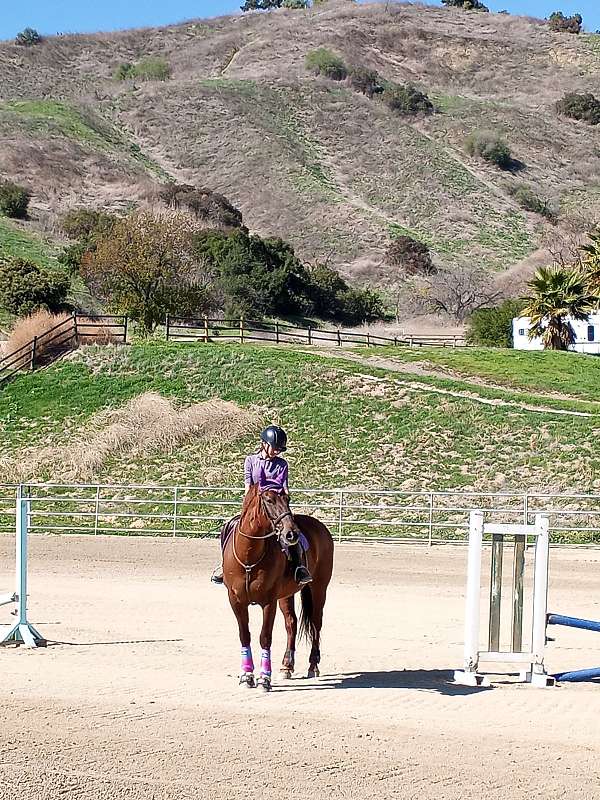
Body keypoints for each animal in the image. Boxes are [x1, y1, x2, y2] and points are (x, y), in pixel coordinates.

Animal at [221, 484, 336, 692]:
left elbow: (265, 637)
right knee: (291, 622)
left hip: (319, 588)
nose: (292, 534)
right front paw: (246, 676)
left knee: (316, 623)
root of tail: (320, 526)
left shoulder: (269, 602)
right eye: (269, 500)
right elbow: (245, 636)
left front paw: (264, 679)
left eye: (287, 499)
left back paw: (313, 665)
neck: (249, 555)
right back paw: (287, 665)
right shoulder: (236, 601)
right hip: (286, 594)